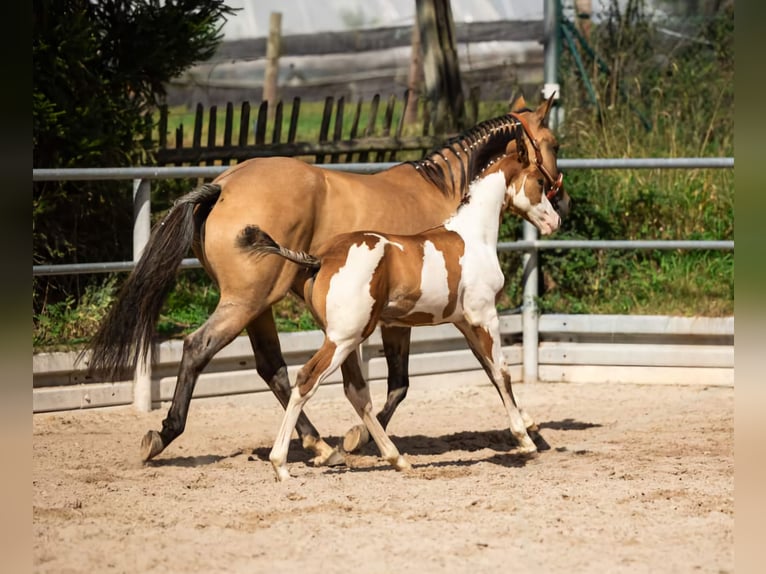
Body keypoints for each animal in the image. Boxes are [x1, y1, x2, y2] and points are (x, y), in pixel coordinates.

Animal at [240, 153, 564, 482]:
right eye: (540, 181)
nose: (555, 220)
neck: (473, 237)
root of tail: (323, 258)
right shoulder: (484, 316)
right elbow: (501, 372)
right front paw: (525, 441)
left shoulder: (463, 323)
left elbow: (490, 371)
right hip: (343, 339)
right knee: (308, 380)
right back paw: (282, 465)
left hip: (346, 339)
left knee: (356, 392)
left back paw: (396, 459)